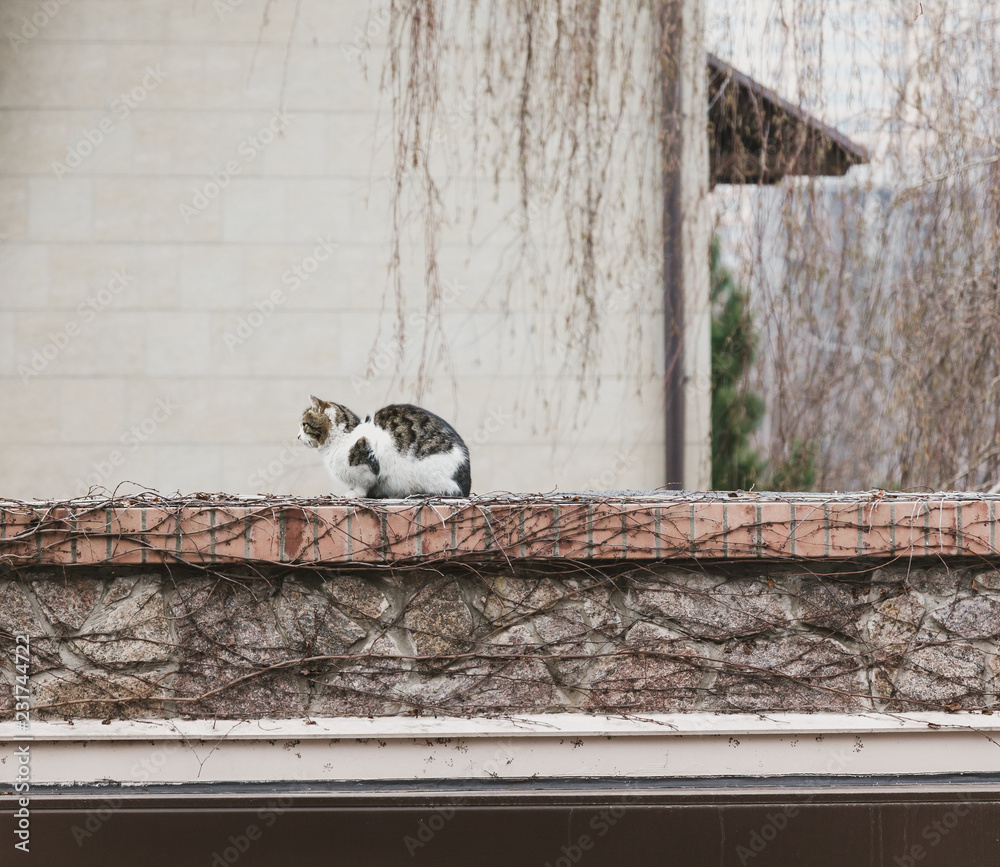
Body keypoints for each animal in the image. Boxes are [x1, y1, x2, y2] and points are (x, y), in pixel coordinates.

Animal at [296, 396, 472, 498]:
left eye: (304, 425)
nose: (297, 436)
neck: (343, 437)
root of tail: (466, 485)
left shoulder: (367, 465)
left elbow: (363, 485)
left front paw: (354, 494)